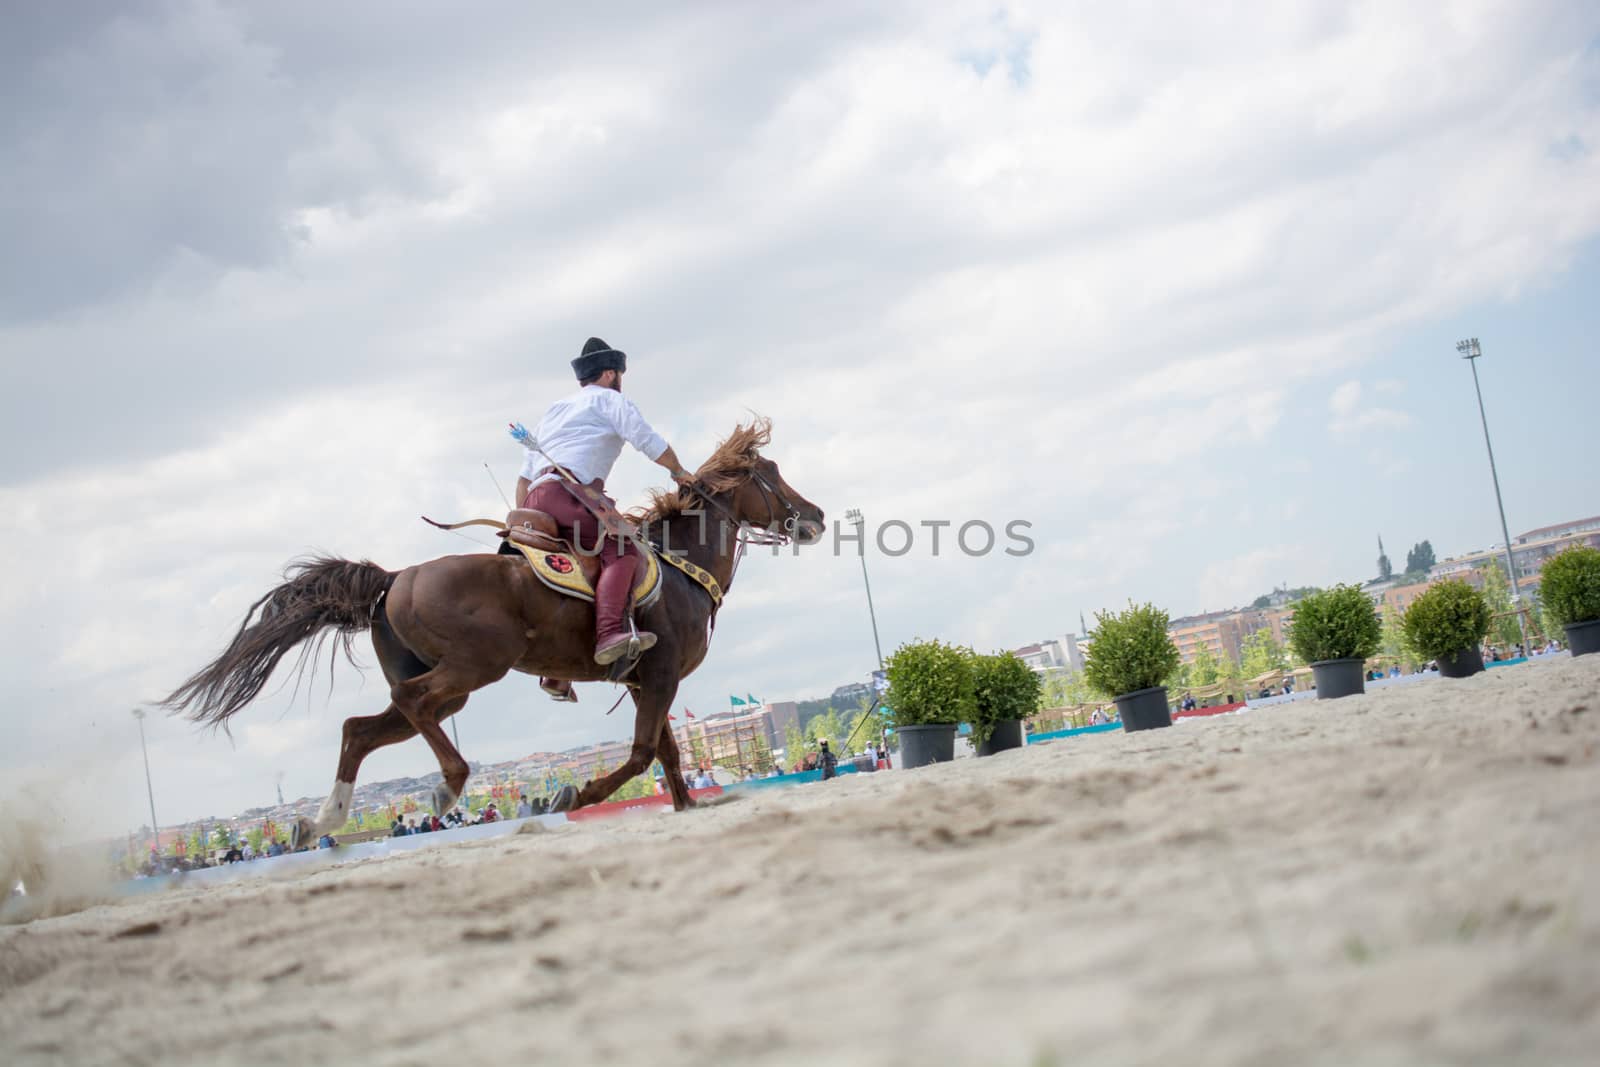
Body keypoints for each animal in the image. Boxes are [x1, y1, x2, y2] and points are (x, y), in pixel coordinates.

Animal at [162, 422, 825, 844]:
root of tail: (396, 578)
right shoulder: (659, 678)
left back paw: (323, 819)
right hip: (476, 667)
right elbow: (643, 753)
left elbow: (665, 753)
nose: (816, 517)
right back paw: (448, 786)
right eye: (770, 473)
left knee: (361, 728)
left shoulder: (645, 682)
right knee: (411, 704)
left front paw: (685, 808)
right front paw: (576, 795)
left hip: (450, 683)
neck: (680, 566)